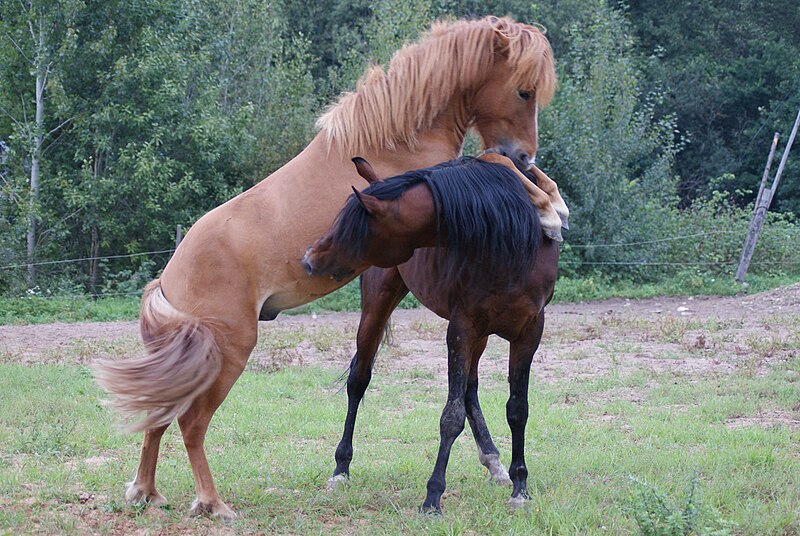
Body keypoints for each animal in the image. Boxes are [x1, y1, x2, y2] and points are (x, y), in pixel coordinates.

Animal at [304, 155, 560, 510]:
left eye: (350, 228)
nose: (309, 259)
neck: (507, 243)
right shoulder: (462, 328)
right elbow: (450, 416)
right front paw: (433, 496)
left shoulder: (529, 332)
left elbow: (517, 409)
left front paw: (520, 486)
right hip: (379, 306)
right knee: (358, 380)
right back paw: (341, 469)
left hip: (481, 335)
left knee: (470, 388)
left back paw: (493, 462)